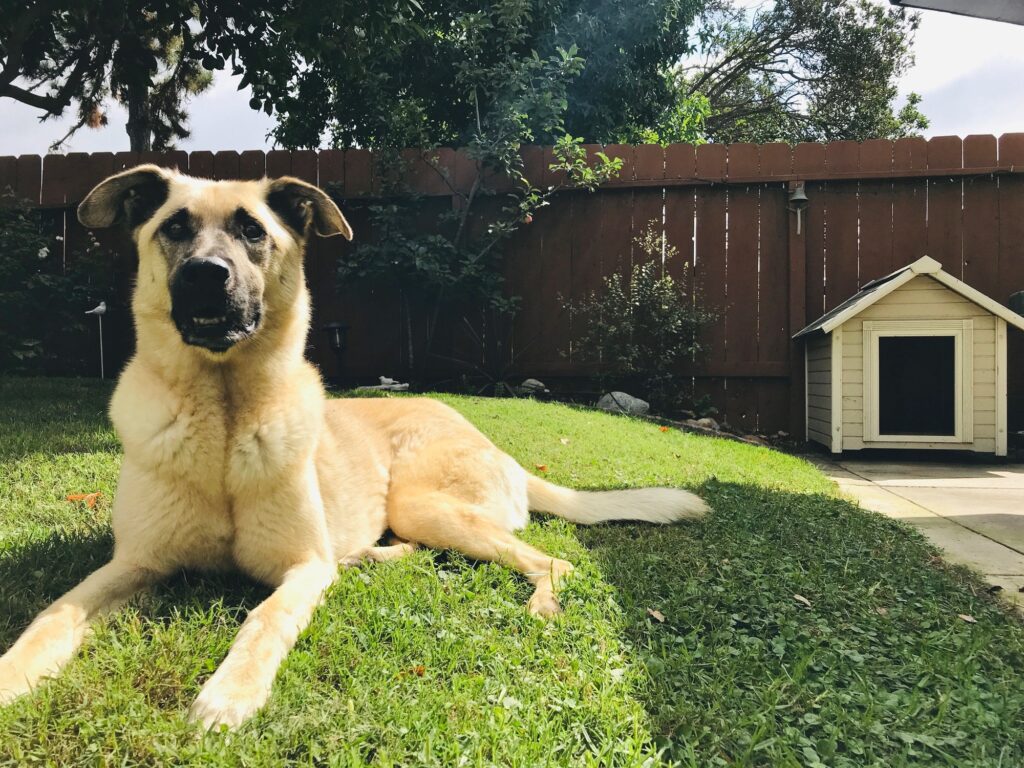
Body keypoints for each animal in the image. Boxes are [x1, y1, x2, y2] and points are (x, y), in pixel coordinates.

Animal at [0, 165, 708, 729]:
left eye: (252, 231)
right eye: (174, 227)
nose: (205, 276)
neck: (224, 419)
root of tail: (500, 450)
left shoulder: (303, 568)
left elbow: (263, 621)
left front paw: (229, 694)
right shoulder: (133, 564)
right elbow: (52, 616)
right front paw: (12, 676)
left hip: (425, 503)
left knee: (552, 562)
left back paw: (536, 603)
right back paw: (371, 557)